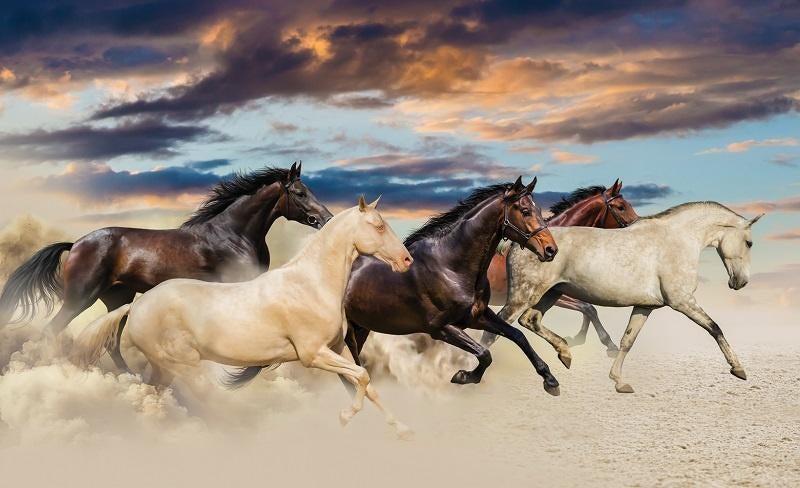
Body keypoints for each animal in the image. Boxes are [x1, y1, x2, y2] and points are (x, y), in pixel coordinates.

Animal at [0, 162, 332, 368]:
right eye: (300, 193)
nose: (326, 219)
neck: (233, 235)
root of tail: (76, 244)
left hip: (117, 298)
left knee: (111, 343)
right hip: (80, 298)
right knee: (51, 331)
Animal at [72, 196, 414, 436]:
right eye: (378, 225)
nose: (406, 260)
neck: (310, 284)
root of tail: (138, 306)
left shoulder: (337, 348)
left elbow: (366, 382)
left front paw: (402, 430)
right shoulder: (313, 354)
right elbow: (362, 377)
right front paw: (344, 418)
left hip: (166, 368)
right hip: (182, 365)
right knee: (193, 397)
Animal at [481, 202, 764, 393]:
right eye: (749, 243)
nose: (740, 282)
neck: (676, 240)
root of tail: (519, 242)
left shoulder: (645, 306)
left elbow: (628, 340)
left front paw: (619, 381)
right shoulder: (682, 301)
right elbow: (714, 327)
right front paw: (738, 369)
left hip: (551, 294)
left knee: (530, 321)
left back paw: (565, 353)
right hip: (523, 295)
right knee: (496, 329)